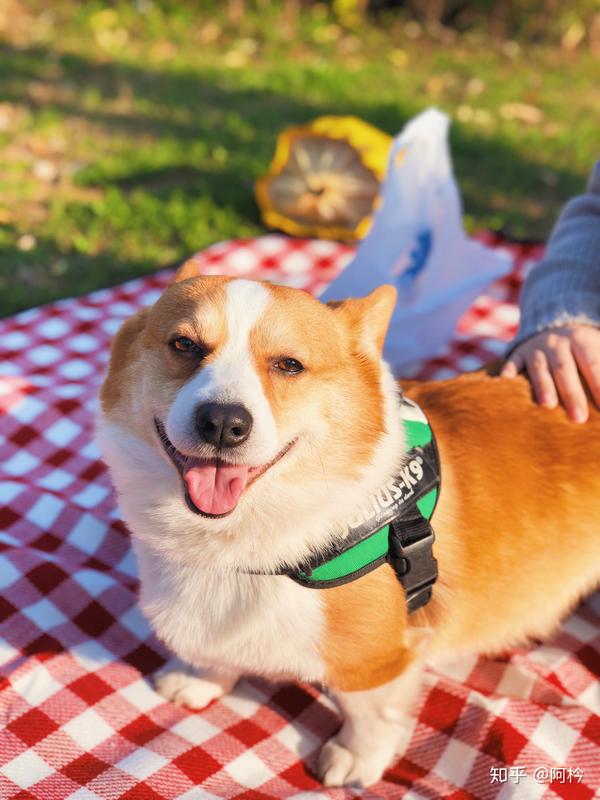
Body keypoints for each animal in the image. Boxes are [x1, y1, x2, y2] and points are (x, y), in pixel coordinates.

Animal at [98, 264, 600, 788]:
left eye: (290, 365)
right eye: (184, 345)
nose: (221, 423)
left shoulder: (376, 658)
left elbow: (368, 710)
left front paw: (356, 758)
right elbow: (212, 651)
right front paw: (197, 677)